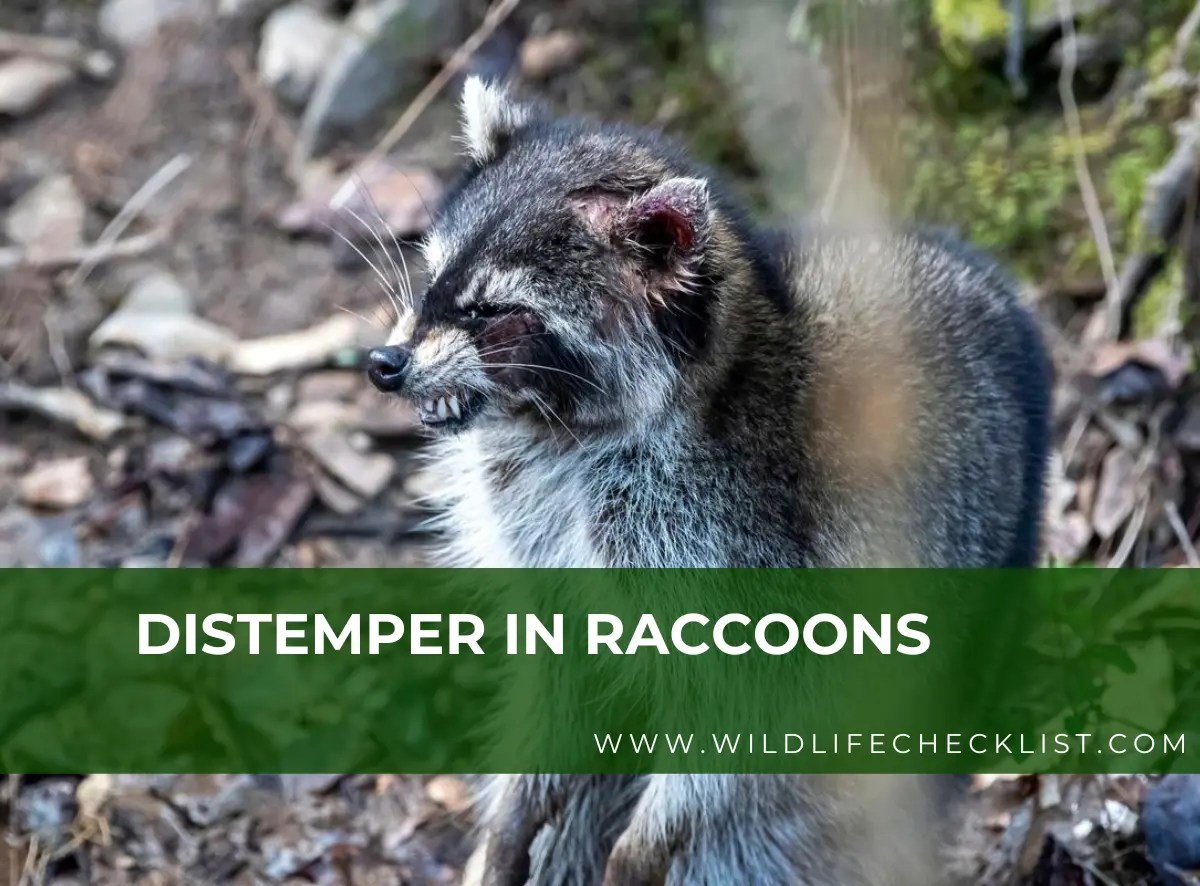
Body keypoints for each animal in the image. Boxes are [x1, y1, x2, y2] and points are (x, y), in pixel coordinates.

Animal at [366, 77, 1051, 884]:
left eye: (494, 311)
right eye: (434, 275)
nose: (384, 364)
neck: (563, 434)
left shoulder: (736, 543)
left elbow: (750, 715)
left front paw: (641, 845)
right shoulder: (550, 539)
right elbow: (564, 674)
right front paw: (513, 814)